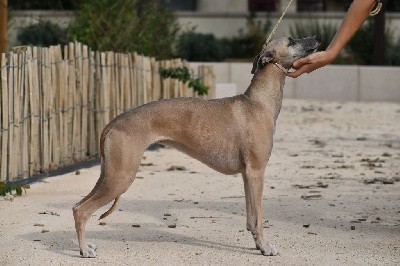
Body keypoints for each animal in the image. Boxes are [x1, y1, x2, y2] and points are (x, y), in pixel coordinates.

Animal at [72, 36, 322, 256]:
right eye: (291, 40)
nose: (318, 38)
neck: (258, 102)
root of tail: (112, 123)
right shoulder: (256, 171)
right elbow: (259, 217)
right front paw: (265, 247)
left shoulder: (247, 175)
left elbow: (251, 218)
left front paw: (258, 244)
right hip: (121, 176)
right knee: (82, 211)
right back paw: (84, 250)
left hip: (109, 175)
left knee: (77, 206)